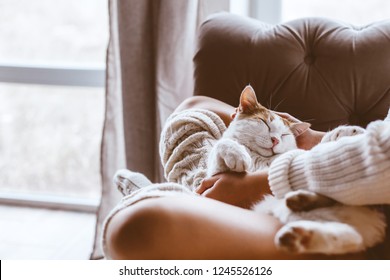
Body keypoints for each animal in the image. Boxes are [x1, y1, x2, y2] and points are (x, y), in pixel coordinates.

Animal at [209, 85, 386, 254]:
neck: (259, 159)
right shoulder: (214, 173)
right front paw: (236, 153)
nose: (275, 140)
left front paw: (344, 131)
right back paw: (301, 231)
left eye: (284, 135)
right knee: (351, 237)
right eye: (265, 123)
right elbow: (222, 144)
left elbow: (313, 152)